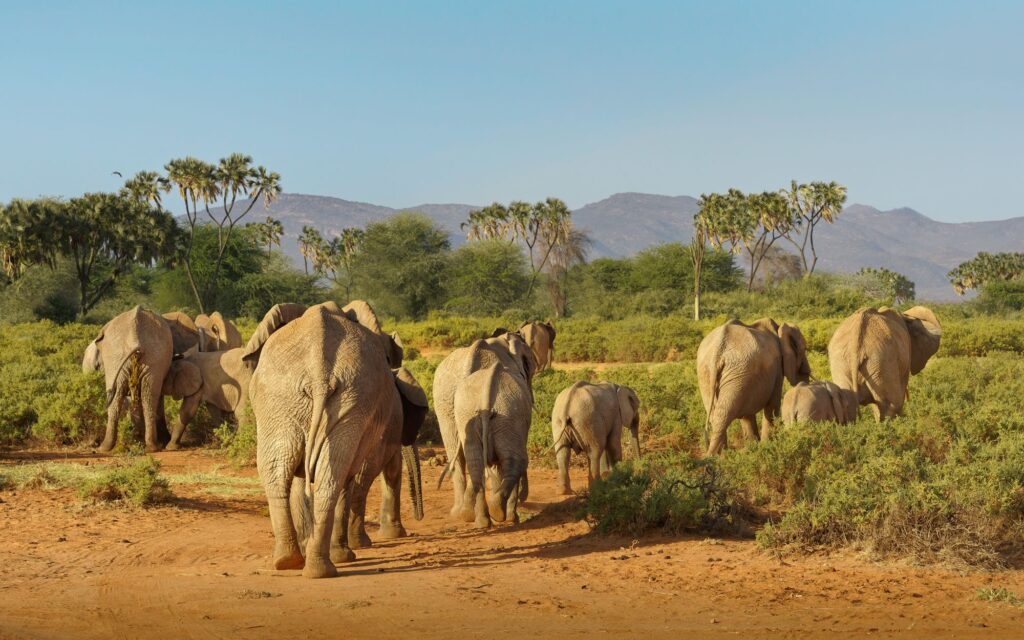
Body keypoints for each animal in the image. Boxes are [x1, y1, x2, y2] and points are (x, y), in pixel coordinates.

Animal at [247, 302, 404, 579]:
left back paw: (296, 563)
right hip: (310, 399)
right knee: (329, 475)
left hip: (289, 399)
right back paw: (322, 563)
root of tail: (319, 372)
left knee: (281, 471)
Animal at [434, 332, 538, 523]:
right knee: (513, 461)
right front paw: (511, 517)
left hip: (449, 407)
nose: (524, 498)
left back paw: (468, 516)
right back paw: (499, 515)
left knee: (466, 459)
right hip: (506, 412)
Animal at [697, 318, 811, 456]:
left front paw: (754, 448)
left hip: (711, 374)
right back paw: (717, 456)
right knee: (724, 414)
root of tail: (718, 351)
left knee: (718, 415)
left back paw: (720, 456)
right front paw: (767, 446)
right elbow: (772, 406)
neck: (778, 328)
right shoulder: (777, 369)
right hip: (735, 372)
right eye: (804, 349)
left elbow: (747, 414)